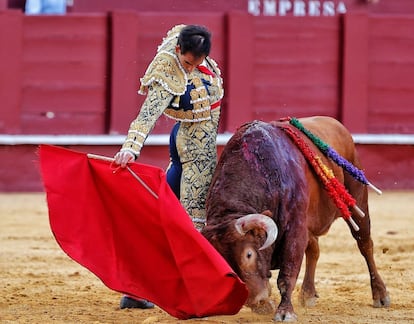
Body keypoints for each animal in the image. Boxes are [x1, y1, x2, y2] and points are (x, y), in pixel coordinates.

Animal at [202, 116, 390, 322]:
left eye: (249, 254)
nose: (253, 299)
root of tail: (337, 125)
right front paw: (266, 305)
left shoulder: (295, 228)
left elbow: (287, 274)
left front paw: (285, 312)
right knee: (314, 249)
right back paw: (308, 294)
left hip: (357, 200)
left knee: (365, 244)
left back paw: (380, 295)